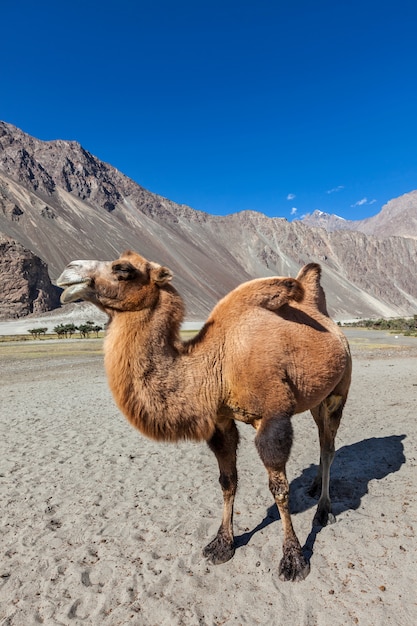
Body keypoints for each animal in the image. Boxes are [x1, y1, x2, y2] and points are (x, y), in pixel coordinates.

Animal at [57, 249, 350, 580]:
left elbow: (279, 489)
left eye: (123, 269)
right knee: (322, 438)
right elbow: (227, 480)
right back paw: (314, 488)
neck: (217, 363)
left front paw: (293, 558)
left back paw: (324, 511)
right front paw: (222, 544)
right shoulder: (220, 420)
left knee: (328, 446)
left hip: (339, 391)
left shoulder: (273, 418)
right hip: (316, 398)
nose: (69, 270)